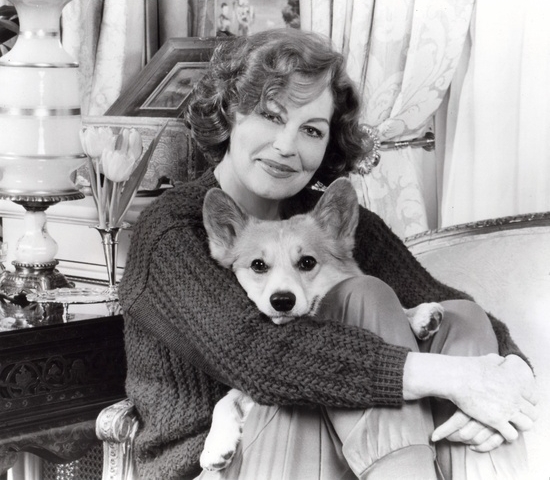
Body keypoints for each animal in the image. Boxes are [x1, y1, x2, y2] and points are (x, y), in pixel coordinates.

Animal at [201, 177, 446, 472]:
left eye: (307, 262)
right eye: (258, 265)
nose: (282, 301)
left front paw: (418, 314)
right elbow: (225, 400)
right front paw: (215, 446)